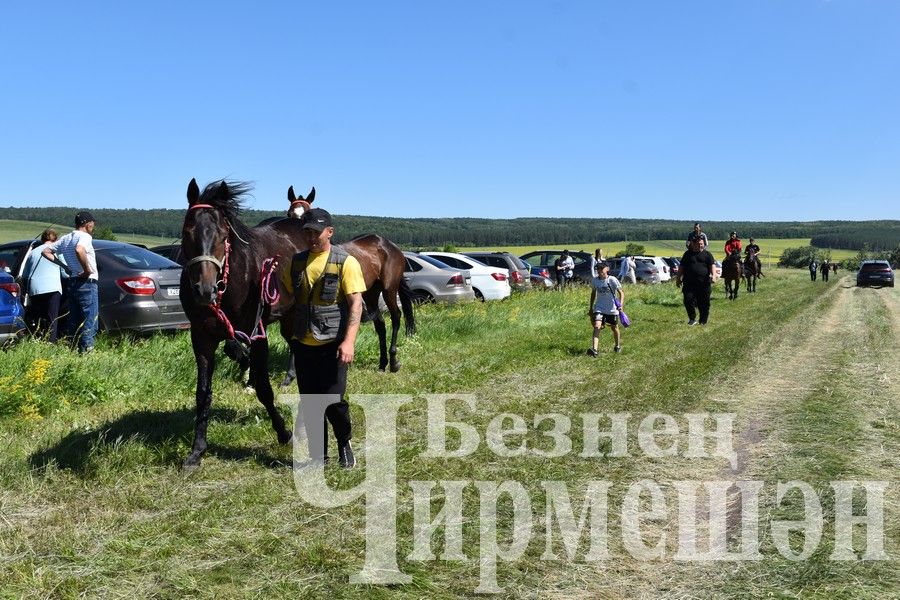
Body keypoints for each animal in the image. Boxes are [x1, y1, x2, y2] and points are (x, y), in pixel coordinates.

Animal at [180, 178, 418, 468]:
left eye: (223, 236)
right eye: (187, 232)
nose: (204, 290)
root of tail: (388, 245)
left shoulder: (257, 333)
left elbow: (264, 388)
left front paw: (284, 432)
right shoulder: (202, 337)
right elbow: (203, 392)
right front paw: (197, 450)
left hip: (386, 289)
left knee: (394, 319)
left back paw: (392, 361)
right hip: (363, 297)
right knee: (375, 326)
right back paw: (380, 363)